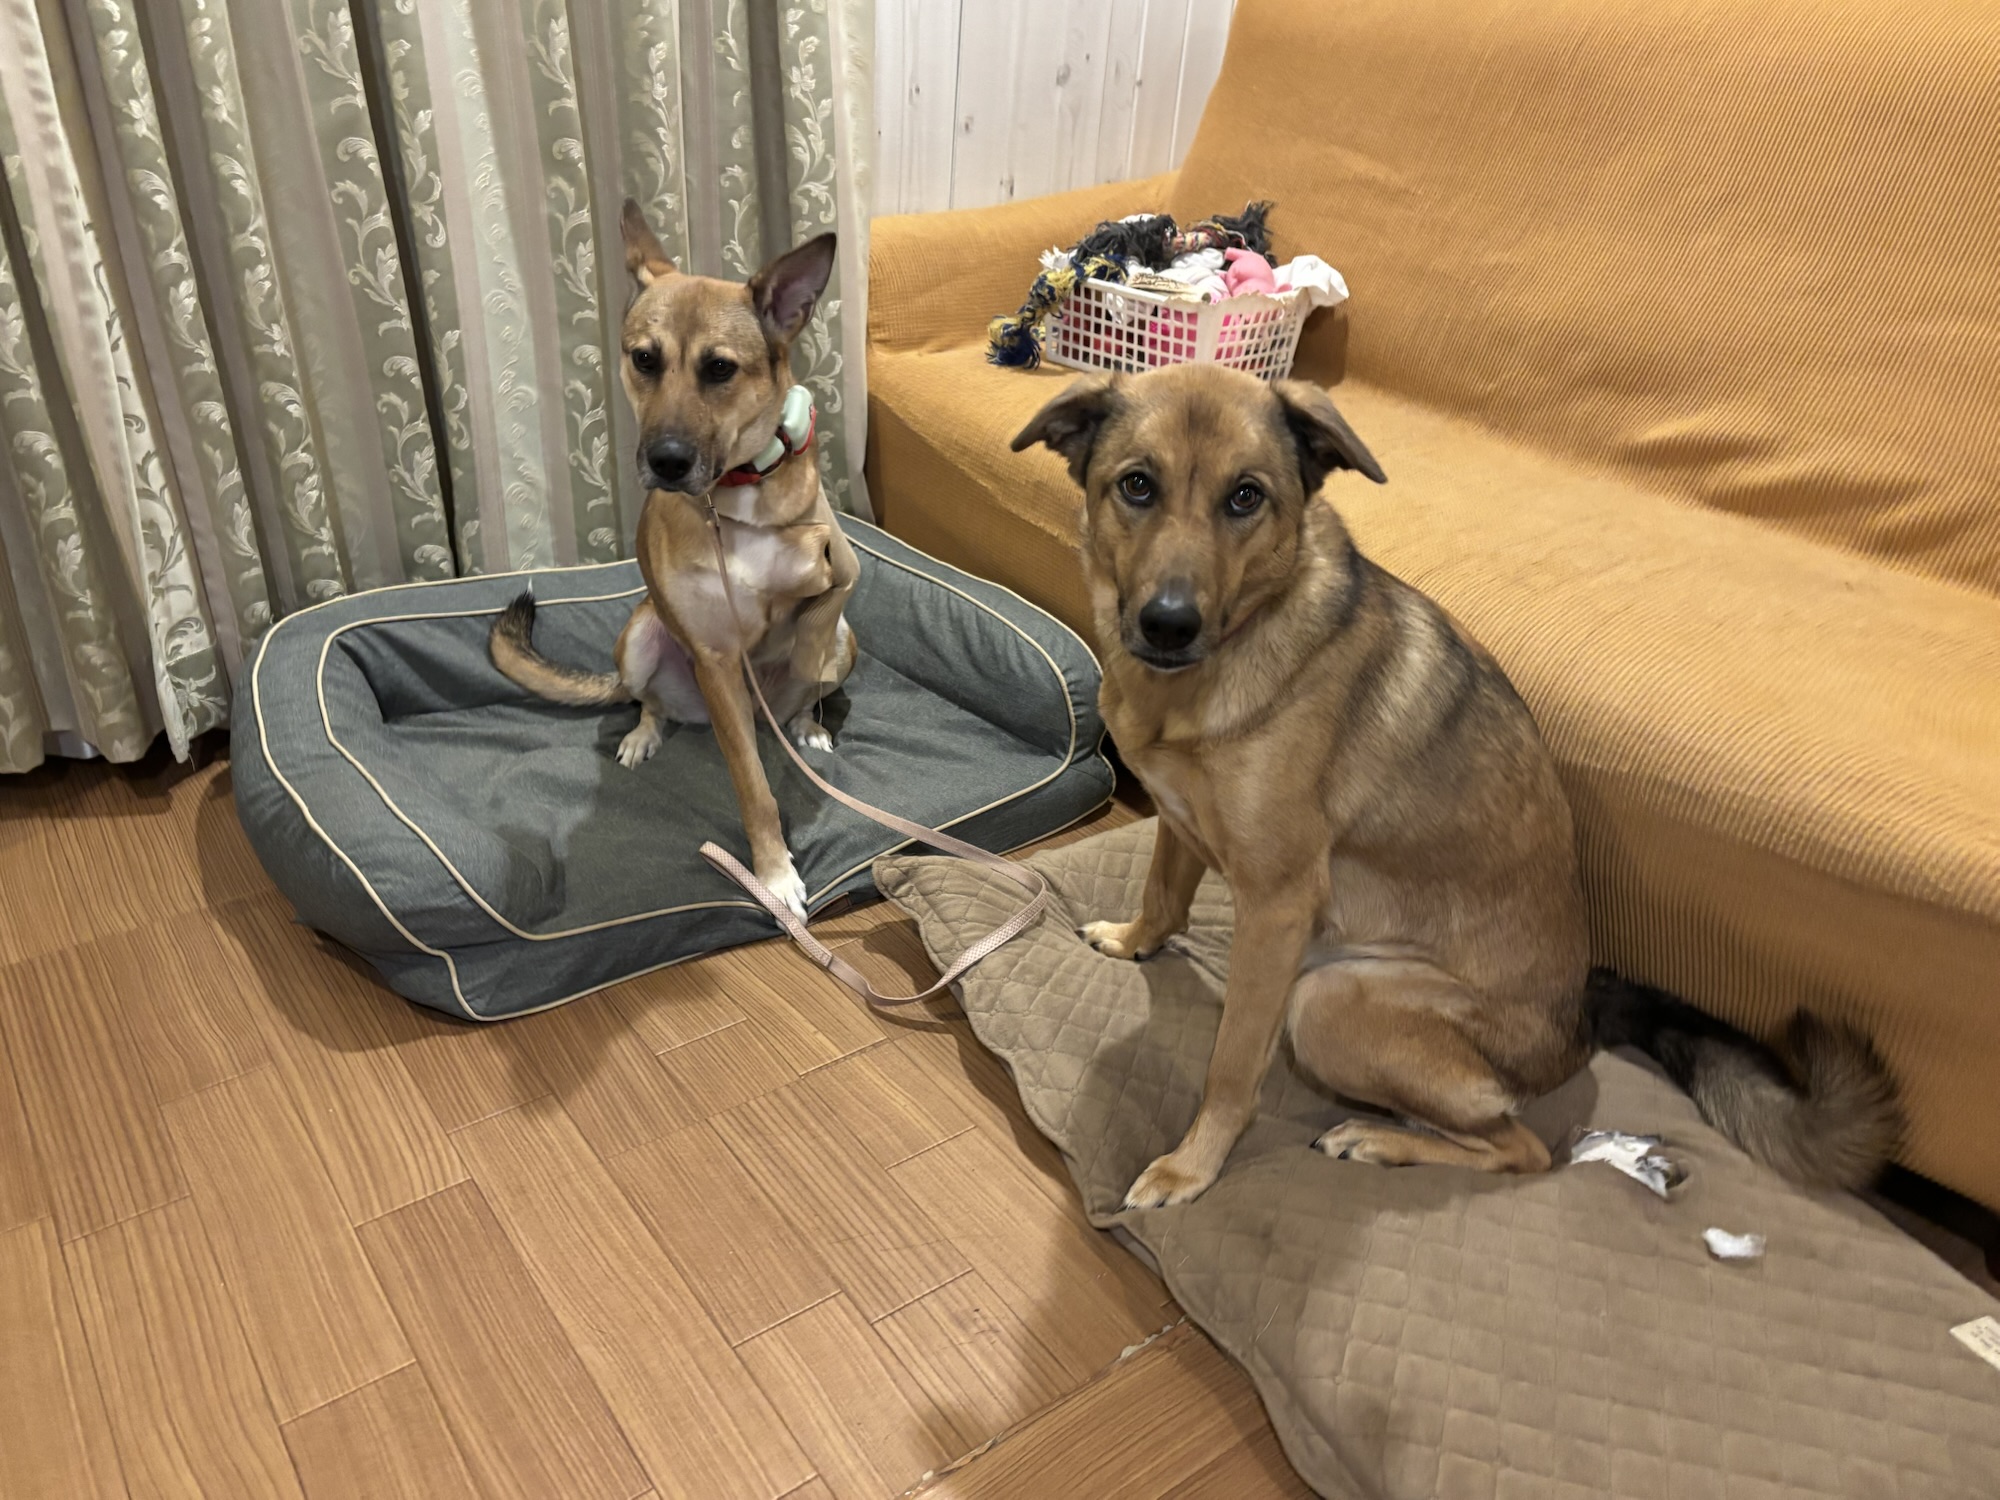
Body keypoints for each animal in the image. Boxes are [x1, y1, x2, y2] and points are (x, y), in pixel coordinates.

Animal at [490, 201, 859, 919]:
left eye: (720, 369)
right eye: (644, 359)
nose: (665, 462)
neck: (730, 497)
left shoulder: (841, 571)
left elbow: (816, 613)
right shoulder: (714, 657)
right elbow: (753, 788)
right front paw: (772, 876)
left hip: (847, 646)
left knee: (813, 687)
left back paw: (807, 723)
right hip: (641, 637)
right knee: (650, 703)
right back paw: (644, 734)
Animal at [1013, 363, 1900, 1208]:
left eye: (1246, 497)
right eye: (1137, 485)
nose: (1168, 624)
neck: (1210, 666)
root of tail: (1584, 1020)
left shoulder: (1278, 904)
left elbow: (1231, 1064)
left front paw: (1191, 1168)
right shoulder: (1179, 818)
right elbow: (1163, 891)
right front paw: (1134, 939)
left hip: (1330, 1001)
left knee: (1525, 1149)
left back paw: (1378, 1140)